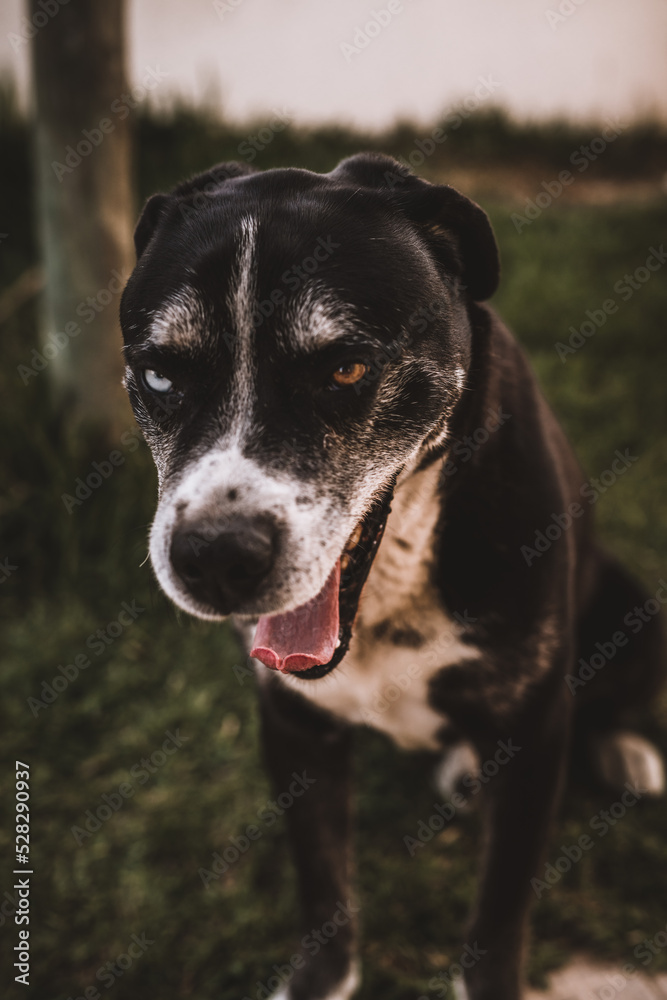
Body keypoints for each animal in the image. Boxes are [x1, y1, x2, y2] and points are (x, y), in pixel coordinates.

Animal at [121, 150, 667, 1000]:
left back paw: (625, 752)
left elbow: (498, 914)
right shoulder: (294, 724)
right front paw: (320, 978)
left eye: (346, 367)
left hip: (635, 613)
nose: (215, 558)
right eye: (159, 374)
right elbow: (322, 881)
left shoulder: (533, 731)